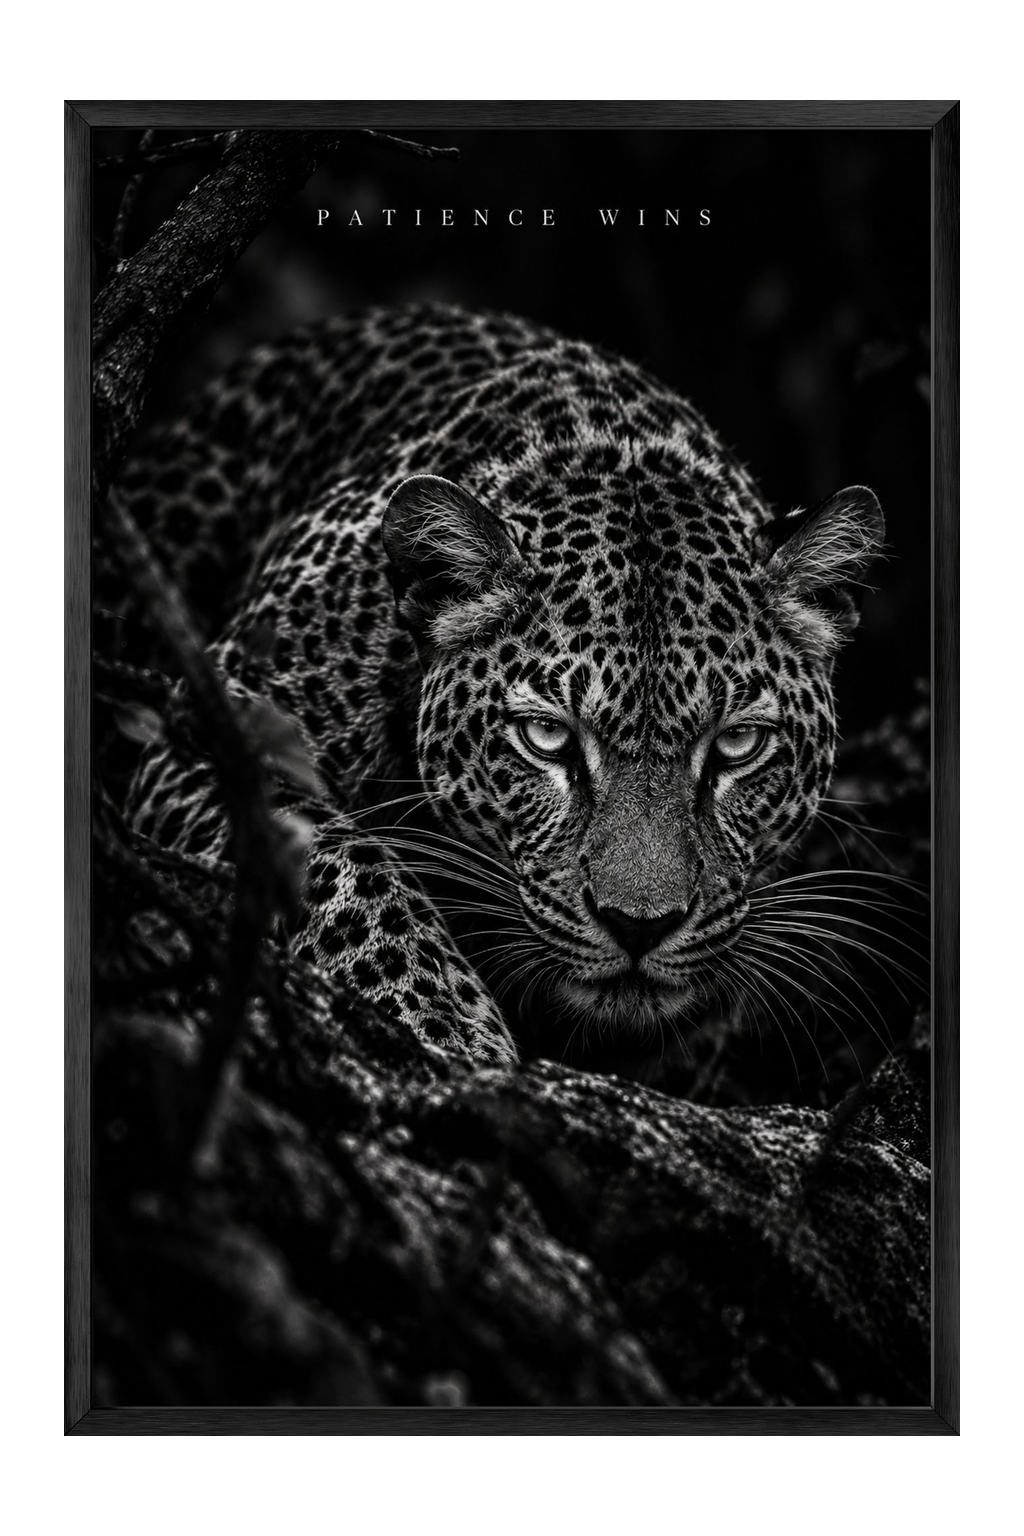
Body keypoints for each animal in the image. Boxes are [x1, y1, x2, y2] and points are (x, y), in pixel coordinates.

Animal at [114, 303, 884, 1070]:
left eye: (738, 745)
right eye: (546, 737)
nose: (640, 927)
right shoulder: (209, 729)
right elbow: (338, 856)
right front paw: (444, 1024)